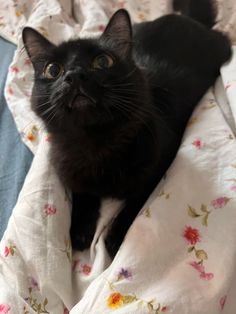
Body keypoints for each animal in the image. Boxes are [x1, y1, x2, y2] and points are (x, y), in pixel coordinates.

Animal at [23, 0, 231, 258]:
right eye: (53, 70)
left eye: (103, 62)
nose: (75, 75)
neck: (96, 141)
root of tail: (185, 18)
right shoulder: (69, 168)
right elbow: (82, 192)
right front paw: (80, 229)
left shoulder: (160, 165)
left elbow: (136, 204)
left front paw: (114, 237)